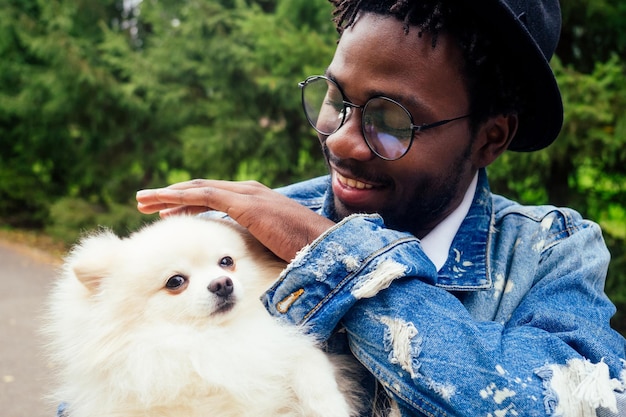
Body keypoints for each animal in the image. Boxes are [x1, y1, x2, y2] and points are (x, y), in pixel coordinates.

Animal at [44, 214, 364, 416]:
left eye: (226, 262)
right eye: (175, 281)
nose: (222, 283)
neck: (212, 339)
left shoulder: (278, 342)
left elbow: (310, 365)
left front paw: (329, 407)